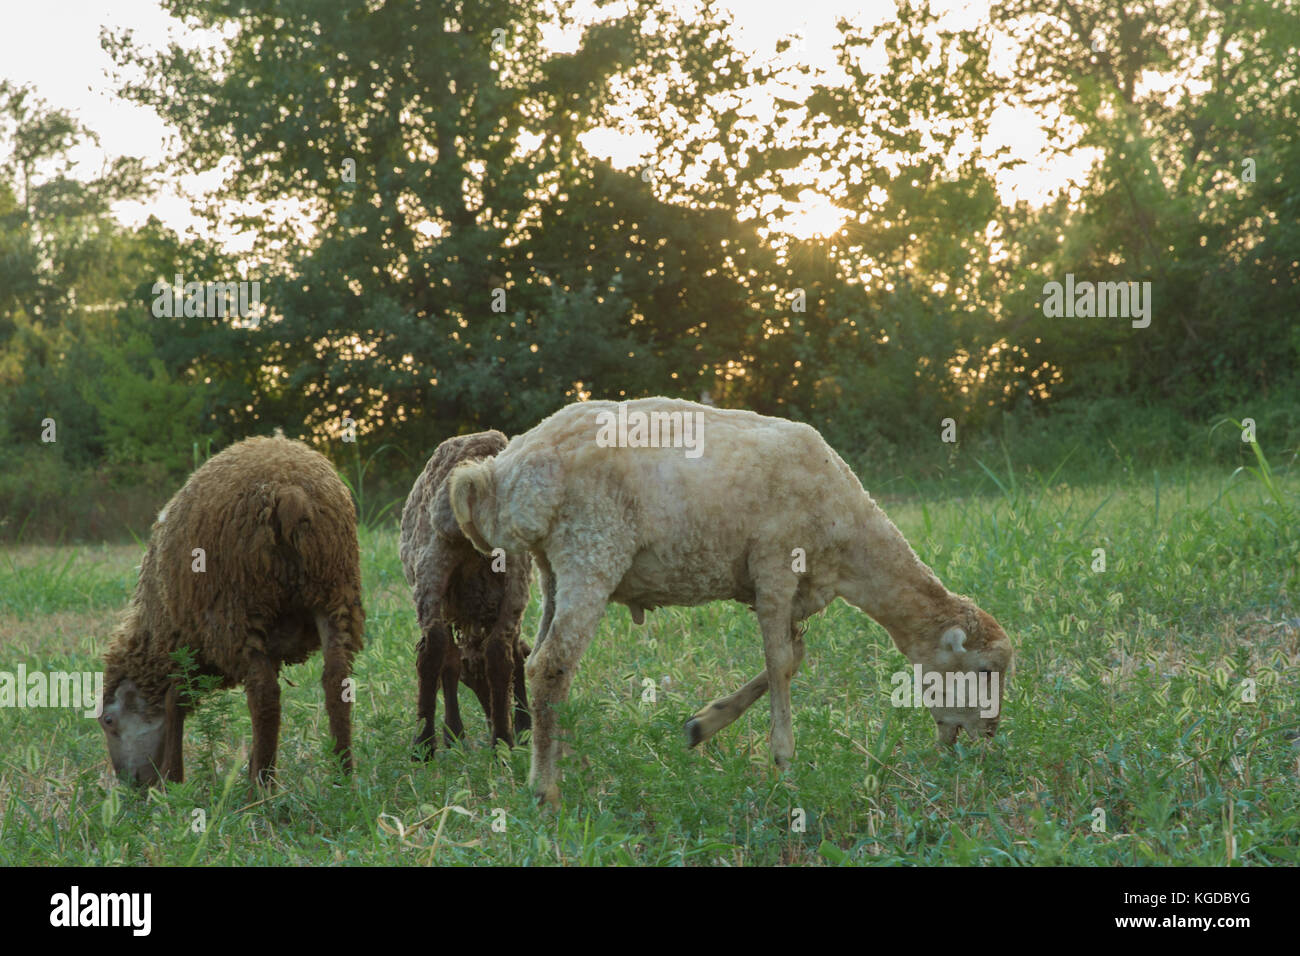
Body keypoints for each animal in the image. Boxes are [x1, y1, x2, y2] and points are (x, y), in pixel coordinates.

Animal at [99, 435, 365, 788]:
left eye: (109, 721)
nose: (131, 788)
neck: (156, 630)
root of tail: (289, 492)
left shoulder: (187, 643)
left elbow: (174, 702)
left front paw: (173, 780)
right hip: (335, 594)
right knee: (335, 681)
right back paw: (342, 776)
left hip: (233, 610)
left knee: (265, 696)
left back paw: (259, 789)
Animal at [399, 431, 531, 756]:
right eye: (473, 681)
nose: (489, 717)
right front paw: (520, 730)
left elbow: (450, 661)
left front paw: (453, 735)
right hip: (510, 574)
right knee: (496, 653)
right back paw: (500, 742)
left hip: (433, 564)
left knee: (433, 650)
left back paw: (424, 746)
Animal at [448, 397, 1014, 806]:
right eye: (985, 670)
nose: (989, 735)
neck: (852, 543)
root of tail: (499, 473)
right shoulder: (776, 564)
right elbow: (782, 662)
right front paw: (784, 768)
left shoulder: (784, 590)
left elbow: (791, 658)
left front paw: (702, 724)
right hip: (593, 549)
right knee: (550, 665)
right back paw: (545, 790)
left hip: (554, 567)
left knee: (540, 660)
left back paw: (560, 758)